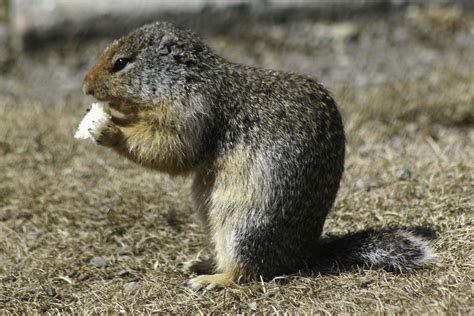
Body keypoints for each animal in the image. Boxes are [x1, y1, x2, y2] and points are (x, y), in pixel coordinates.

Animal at [82, 21, 436, 290]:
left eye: (121, 62)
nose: (85, 87)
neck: (188, 79)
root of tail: (303, 255)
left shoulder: (192, 112)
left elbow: (169, 148)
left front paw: (108, 128)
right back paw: (198, 264)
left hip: (245, 225)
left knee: (248, 271)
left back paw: (212, 280)